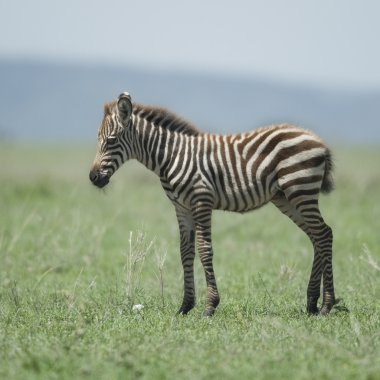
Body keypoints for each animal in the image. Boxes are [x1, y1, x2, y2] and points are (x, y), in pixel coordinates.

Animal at [89, 92, 336, 318]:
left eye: (110, 140)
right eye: (98, 140)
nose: (93, 177)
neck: (171, 157)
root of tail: (319, 141)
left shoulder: (201, 201)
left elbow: (205, 250)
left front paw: (209, 306)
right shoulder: (181, 207)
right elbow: (185, 252)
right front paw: (185, 306)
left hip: (300, 189)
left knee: (323, 234)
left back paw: (326, 305)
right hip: (286, 197)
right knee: (318, 236)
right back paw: (312, 303)